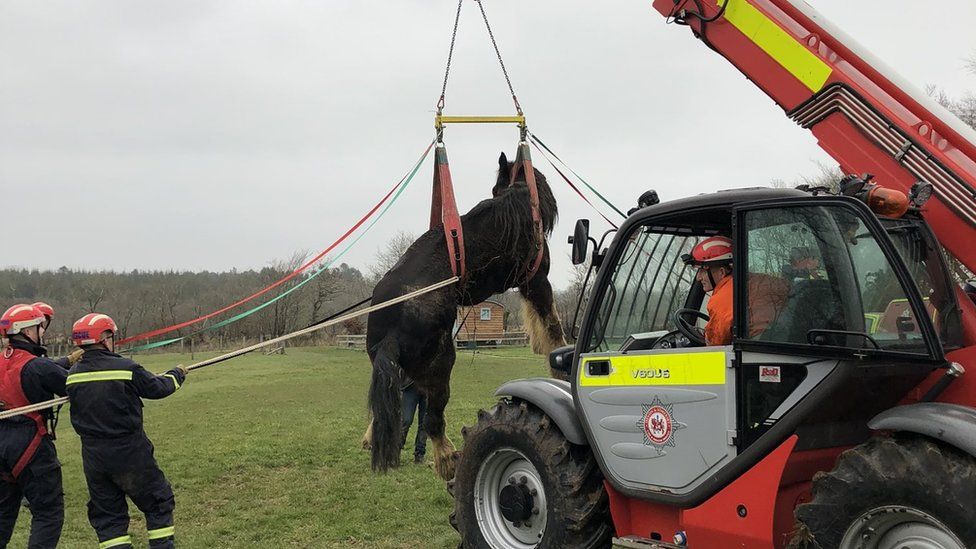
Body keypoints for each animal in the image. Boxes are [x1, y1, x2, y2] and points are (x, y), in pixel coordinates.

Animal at [366, 150, 564, 480]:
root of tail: (390, 332)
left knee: (387, 403)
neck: (522, 202)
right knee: (433, 420)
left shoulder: (527, 285)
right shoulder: (536, 280)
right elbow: (553, 326)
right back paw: (448, 459)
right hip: (442, 361)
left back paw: (371, 436)